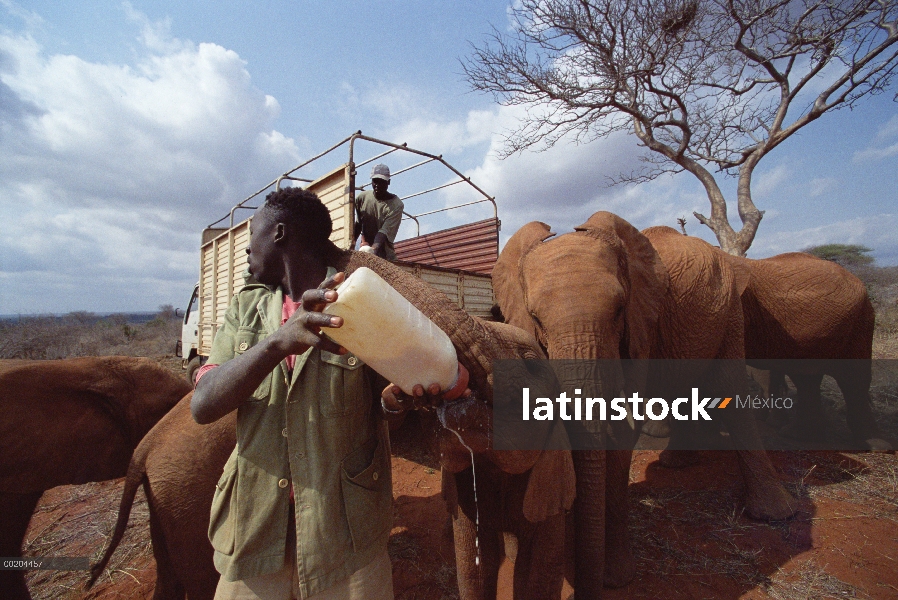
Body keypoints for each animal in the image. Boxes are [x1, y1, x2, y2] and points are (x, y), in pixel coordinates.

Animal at [494, 216, 796, 600]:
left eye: (619, 311)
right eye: (534, 317)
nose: (582, 587)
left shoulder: (640, 328)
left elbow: (623, 436)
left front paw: (615, 579)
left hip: (729, 313)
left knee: (730, 389)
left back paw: (774, 514)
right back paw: (676, 464)